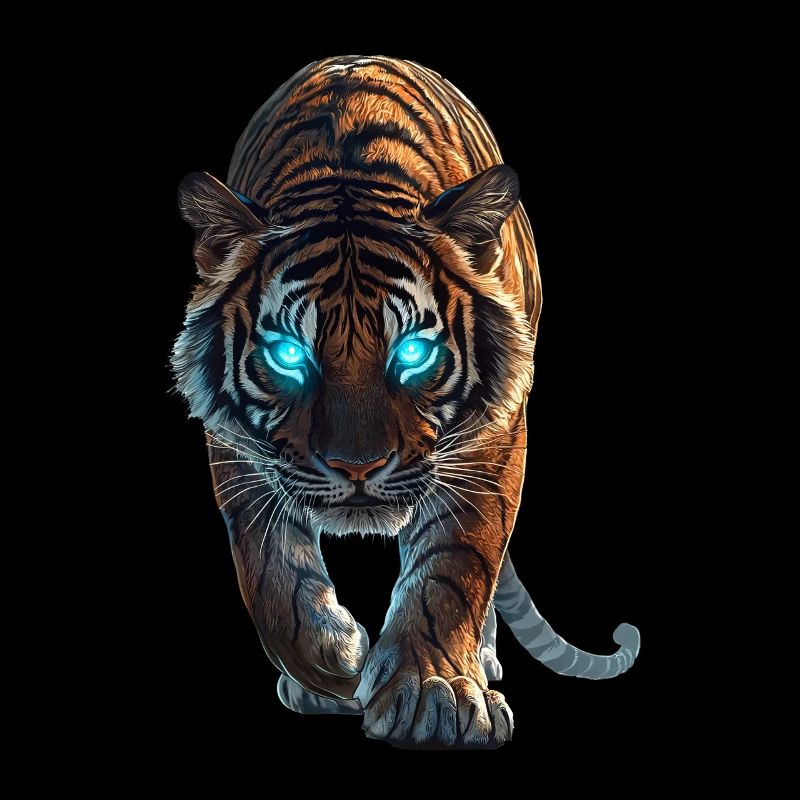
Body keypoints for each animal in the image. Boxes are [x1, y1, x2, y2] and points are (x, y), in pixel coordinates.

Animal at [173, 55, 640, 749]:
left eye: (413, 352)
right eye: (288, 354)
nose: (357, 468)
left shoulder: (492, 440)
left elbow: (454, 563)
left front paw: (432, 693)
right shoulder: (233, 449)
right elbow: (268, 571)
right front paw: (330, 666)